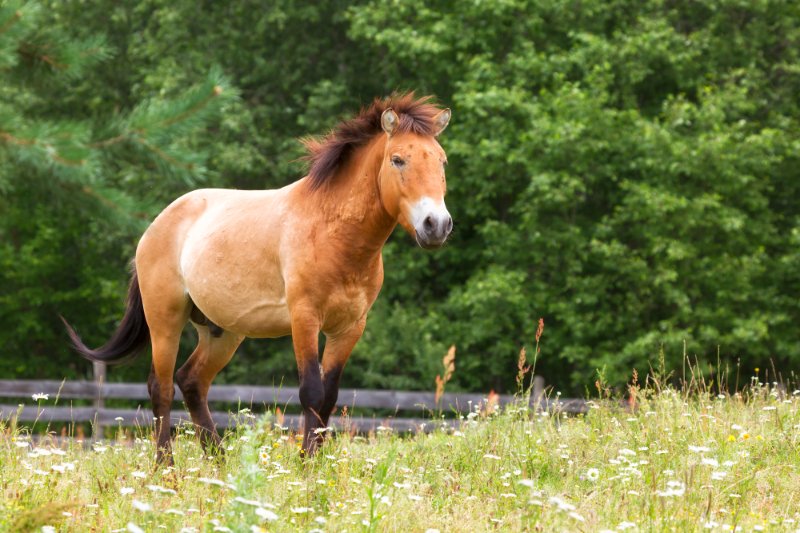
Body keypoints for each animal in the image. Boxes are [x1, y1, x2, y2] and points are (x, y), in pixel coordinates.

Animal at [65, 93, 454, 464]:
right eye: (398, 160)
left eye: (442, 161)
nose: (436, 225)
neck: (333, 232)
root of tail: (156, 225)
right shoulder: (304, 319)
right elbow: (311, 393)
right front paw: (305, 470)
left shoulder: (350, 328)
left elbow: (328, 397)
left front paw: (316, 467)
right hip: (165, 318)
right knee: (160, 388)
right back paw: (167, 469)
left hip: (222, 331)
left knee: (190, 382)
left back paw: (220, 464)